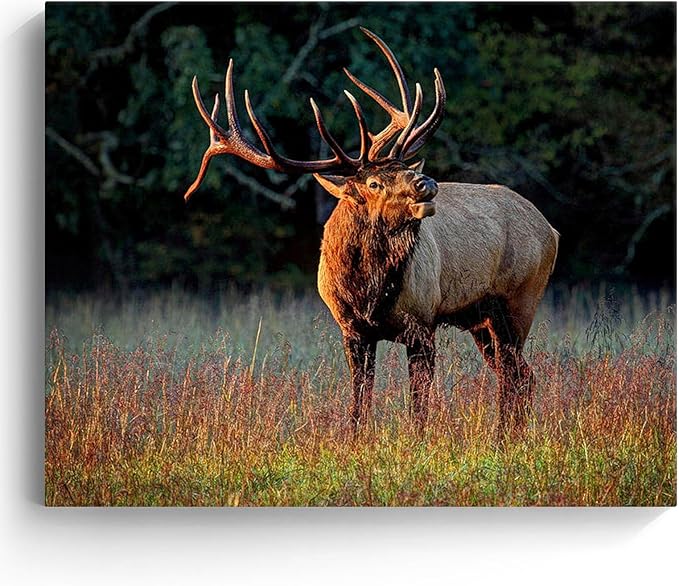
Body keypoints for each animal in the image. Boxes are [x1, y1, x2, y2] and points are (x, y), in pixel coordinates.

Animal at [183, 27, 560, 428]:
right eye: (375, 183)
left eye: (404, 167)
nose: (426, 183)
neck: (368, 292)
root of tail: (551, 230)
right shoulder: (352, 329)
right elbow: (359, 405)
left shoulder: (422, 321)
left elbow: (418, 408)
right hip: (482, 319)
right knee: (520, 375)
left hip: (519, 300)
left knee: (514, 376)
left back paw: (505, 435)